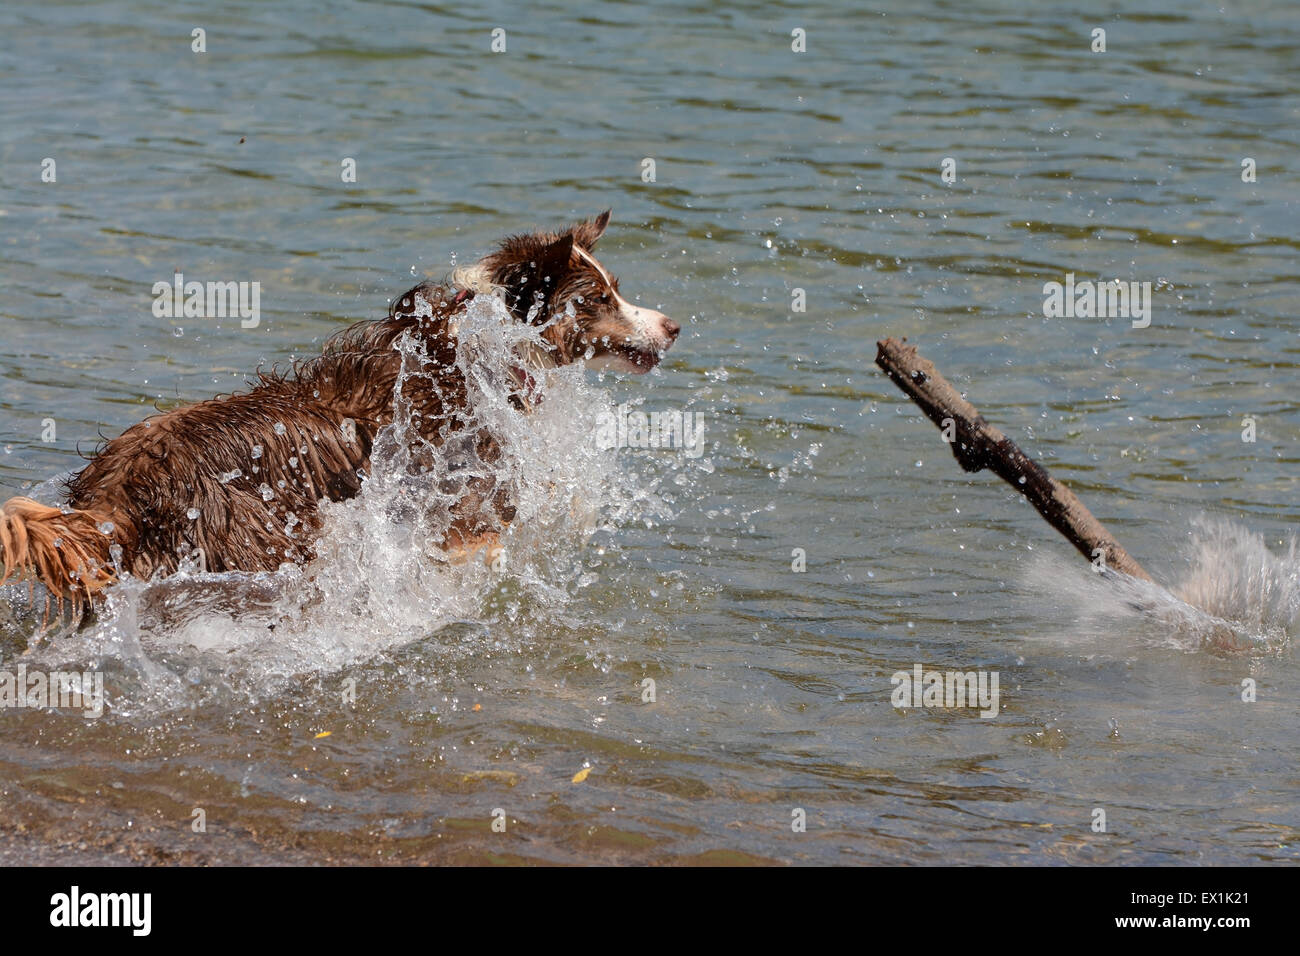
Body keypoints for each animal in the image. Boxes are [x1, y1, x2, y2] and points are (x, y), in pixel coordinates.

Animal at [0, 210, 676, 613]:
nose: (671, 326)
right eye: (598, 298)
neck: (488, 336)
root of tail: (116, 493)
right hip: (263, 540)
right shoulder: (465, 488)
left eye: (616, 287)